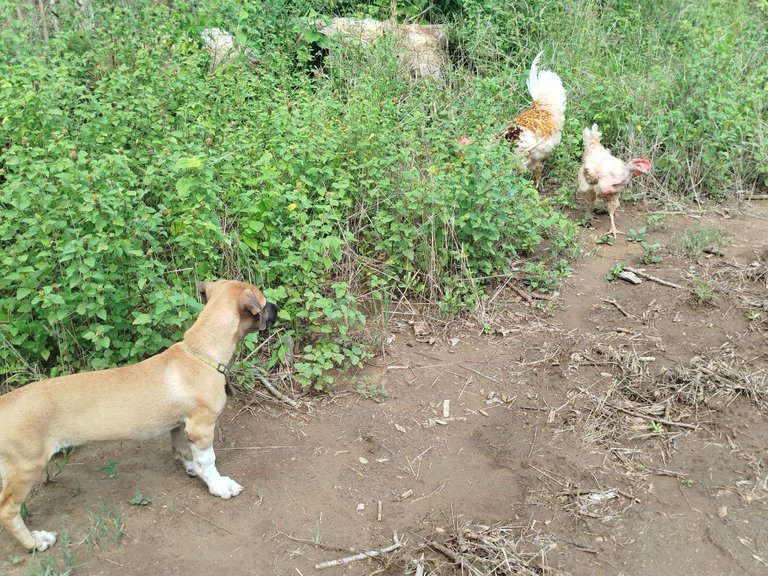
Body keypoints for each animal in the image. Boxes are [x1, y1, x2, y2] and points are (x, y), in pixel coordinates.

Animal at [0, 282, 276, 552]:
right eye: (263, 303)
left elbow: (184, 452)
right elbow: (207, 461)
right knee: (7, 510)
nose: (276, 307)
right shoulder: (201, 427)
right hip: (27, 467)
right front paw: (219, 486)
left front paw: (192, 469)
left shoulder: (181, 426)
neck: (200, 352)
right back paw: (35, 541)